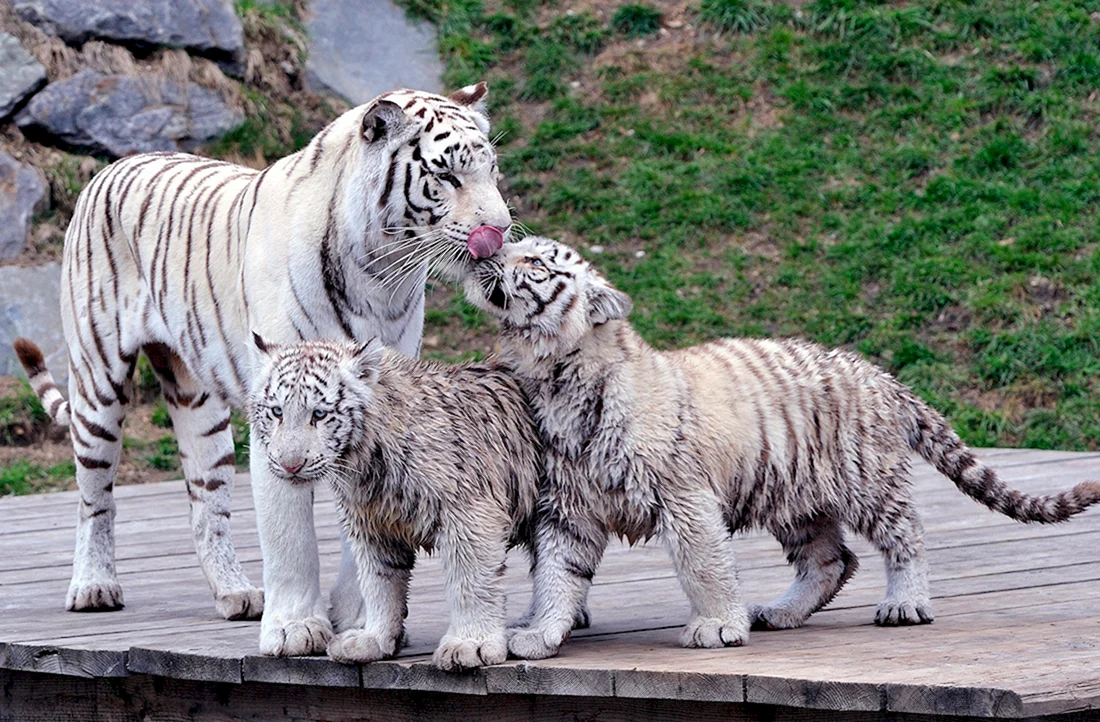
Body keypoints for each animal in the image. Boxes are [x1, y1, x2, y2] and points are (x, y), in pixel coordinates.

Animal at [13, 82, 512, 657]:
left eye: (492, 170)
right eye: (448, 175)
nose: (501, 230)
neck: (380, 274)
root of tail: (112, 167)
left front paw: (357, 620)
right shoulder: (280, 409)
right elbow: (290, 535)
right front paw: (295, 629)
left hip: (198, 406)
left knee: (205, 506)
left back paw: (237, 594)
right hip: (98, 383)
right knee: (95, 496)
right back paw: (94, 586)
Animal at [247, 334, 540, 671]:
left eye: (319, 414)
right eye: (277, 412)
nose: (290, 465)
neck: (365, 462)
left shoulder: (470, 514)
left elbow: (471, 583)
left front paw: (470, 644)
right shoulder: (373, 524)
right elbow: (379, 585)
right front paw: (373, 640)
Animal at [461, 235, 1100, 660]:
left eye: (535, 261)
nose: (485, 251)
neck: (555, 379)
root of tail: (881, 375)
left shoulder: (683, 495)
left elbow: (703, 563)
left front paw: (717, 626)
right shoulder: (567, 508)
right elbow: (556, 576)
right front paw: (537, 634)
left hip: (867, 480)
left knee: (906, 537)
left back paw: (905, 605)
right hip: (795, 496)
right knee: (831, 560)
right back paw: (781, 613)